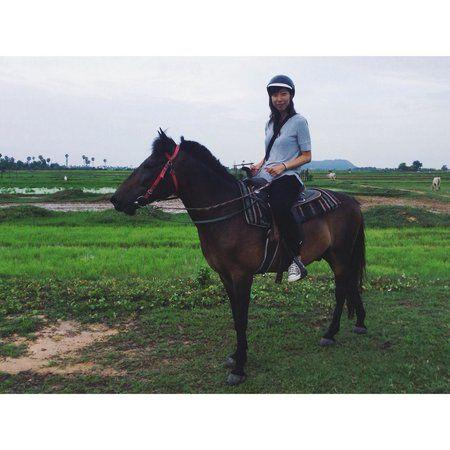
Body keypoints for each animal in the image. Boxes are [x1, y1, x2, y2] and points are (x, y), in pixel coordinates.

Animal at [110, 130, 368, 386]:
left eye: (150, 164)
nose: (115, 199)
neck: (228, 214)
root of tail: (352, 202)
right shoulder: (225, 275)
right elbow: (235, 315)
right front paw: (236, 355)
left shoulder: (242, 275)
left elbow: (242, 318)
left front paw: (240, 368)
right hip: (334, 256)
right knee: (350, 285)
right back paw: (359, 323)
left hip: (340, 255)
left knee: (341, 290)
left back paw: (330, 333)